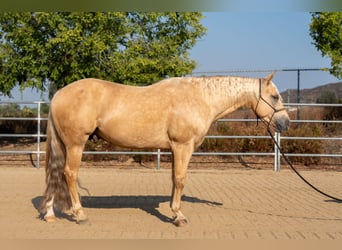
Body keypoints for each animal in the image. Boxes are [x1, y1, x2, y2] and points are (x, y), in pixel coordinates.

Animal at [41, 72, 290, 227]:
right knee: (69, 174)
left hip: (64, 145)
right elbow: (180, 179)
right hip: (75, 144)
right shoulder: (183, 146)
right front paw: (179, 216)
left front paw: (174, 212)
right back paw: (80, 214)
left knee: (55, 174)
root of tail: (58, 95)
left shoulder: (174, 149)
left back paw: (50, 213)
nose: (285, 123)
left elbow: (173, 179)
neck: (201, 98)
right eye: (274, 96)